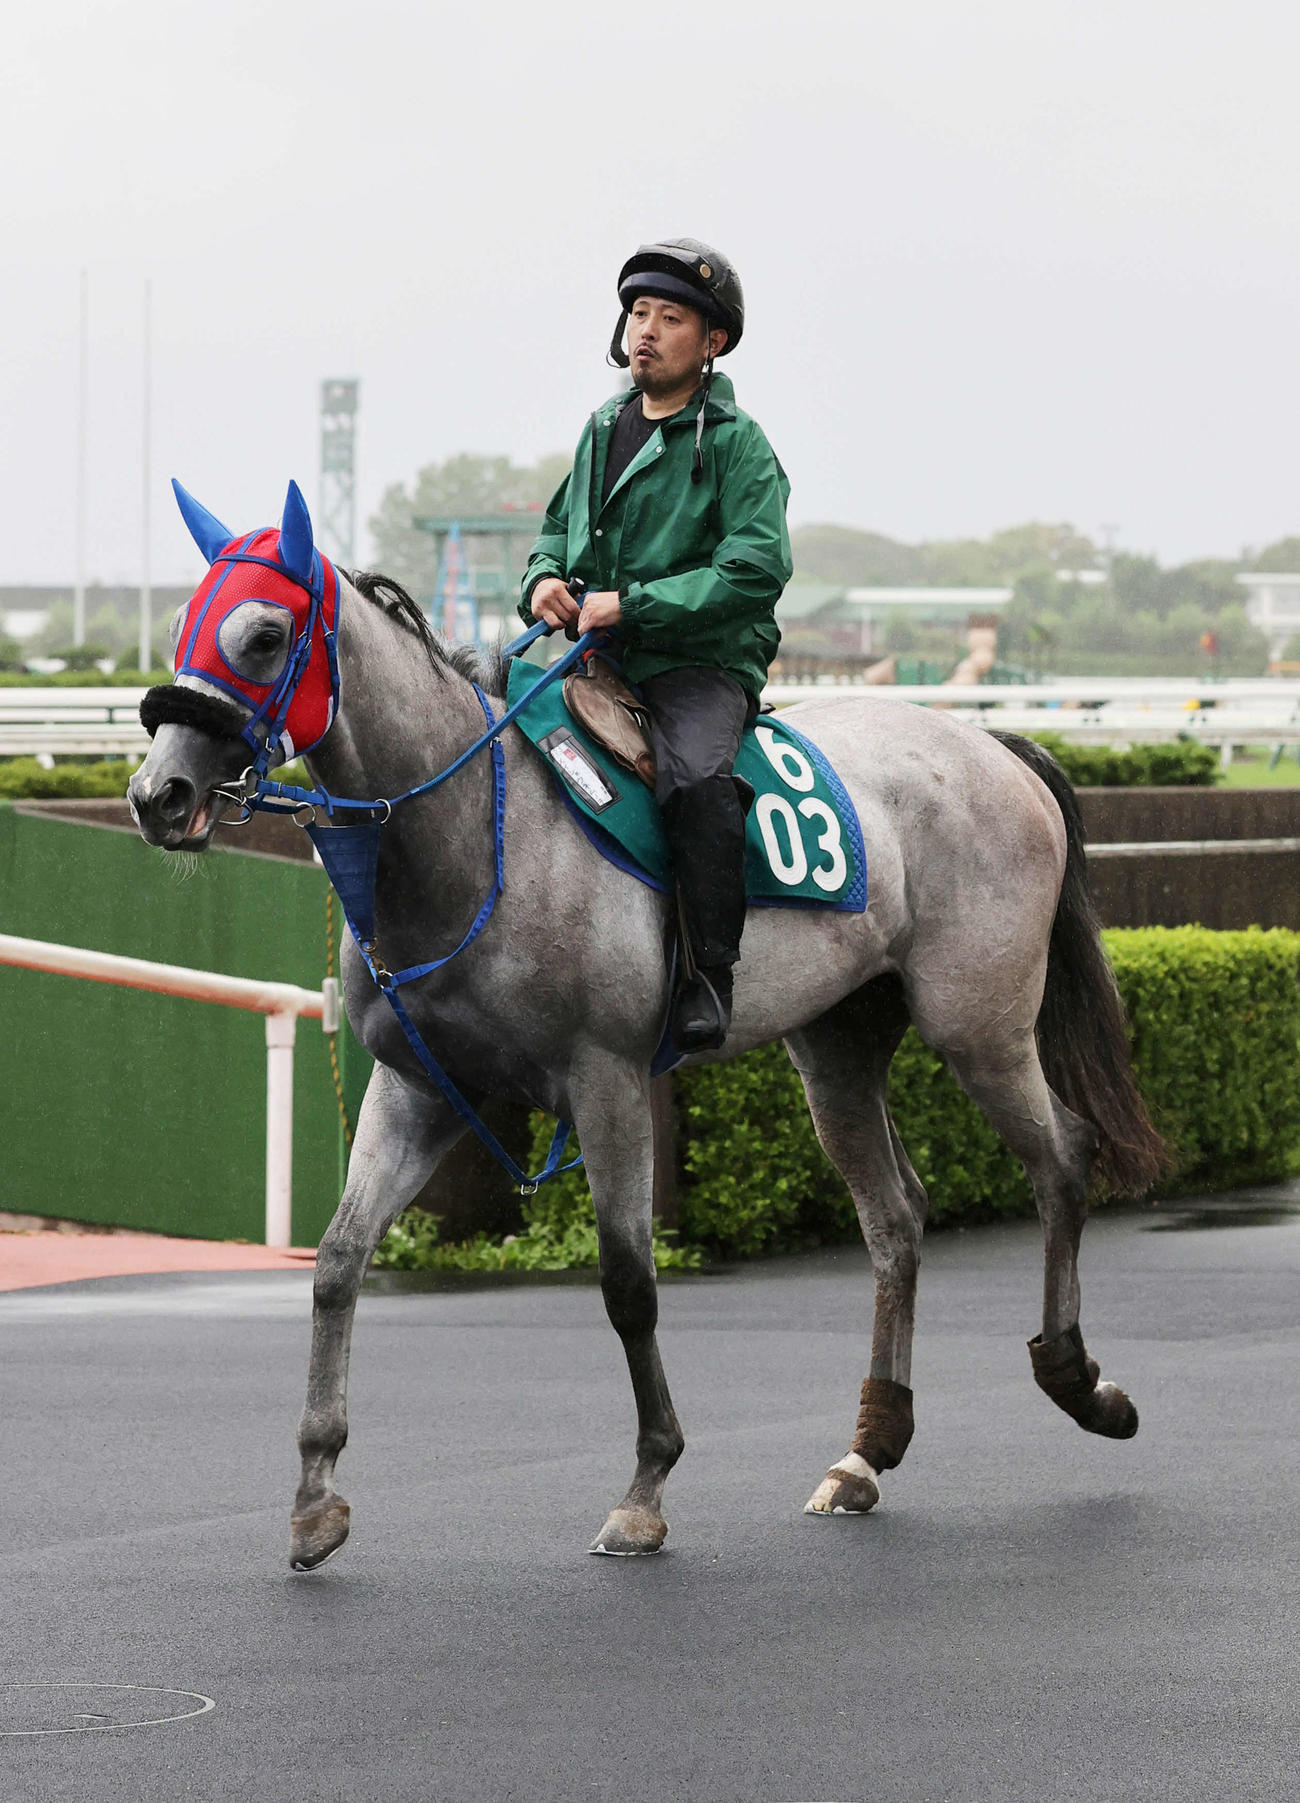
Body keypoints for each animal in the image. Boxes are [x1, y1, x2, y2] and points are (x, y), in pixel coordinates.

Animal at [128, 481, 1165, 1569]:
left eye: (263, 634)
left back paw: (1079, 1381)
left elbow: (628, 1280)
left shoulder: (609, 1078)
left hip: (980, 1024)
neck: (476, 832)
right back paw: (867, 1449)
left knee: (1063, 1158)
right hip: (837, 1043)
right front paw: (316, 1493)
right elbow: (335, 1263)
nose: (159, 793)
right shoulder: (420, 1086)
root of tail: (996, 748)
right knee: (895, 1216)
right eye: (182, 622)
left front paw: (645, 1485)